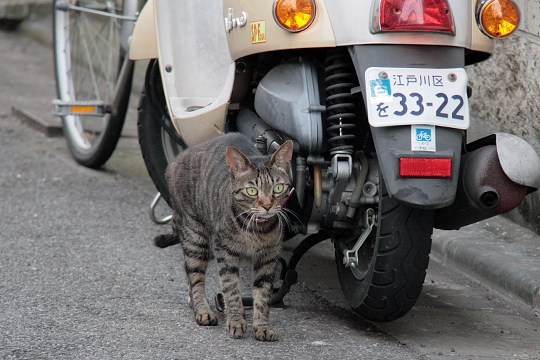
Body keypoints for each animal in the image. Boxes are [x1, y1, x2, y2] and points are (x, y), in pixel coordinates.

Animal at [162, 134, 294, 342]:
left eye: (278, 188)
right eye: (252, 191)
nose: (267, 206)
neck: (256, 229)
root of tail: (177, 160)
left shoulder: (268, 257)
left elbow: (263, 295)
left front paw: (262, 327)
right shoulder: (225, 250)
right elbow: (231, 288)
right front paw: (236, 321)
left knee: (187, 269)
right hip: (195, 235)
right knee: (195, 276)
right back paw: (202, 310)